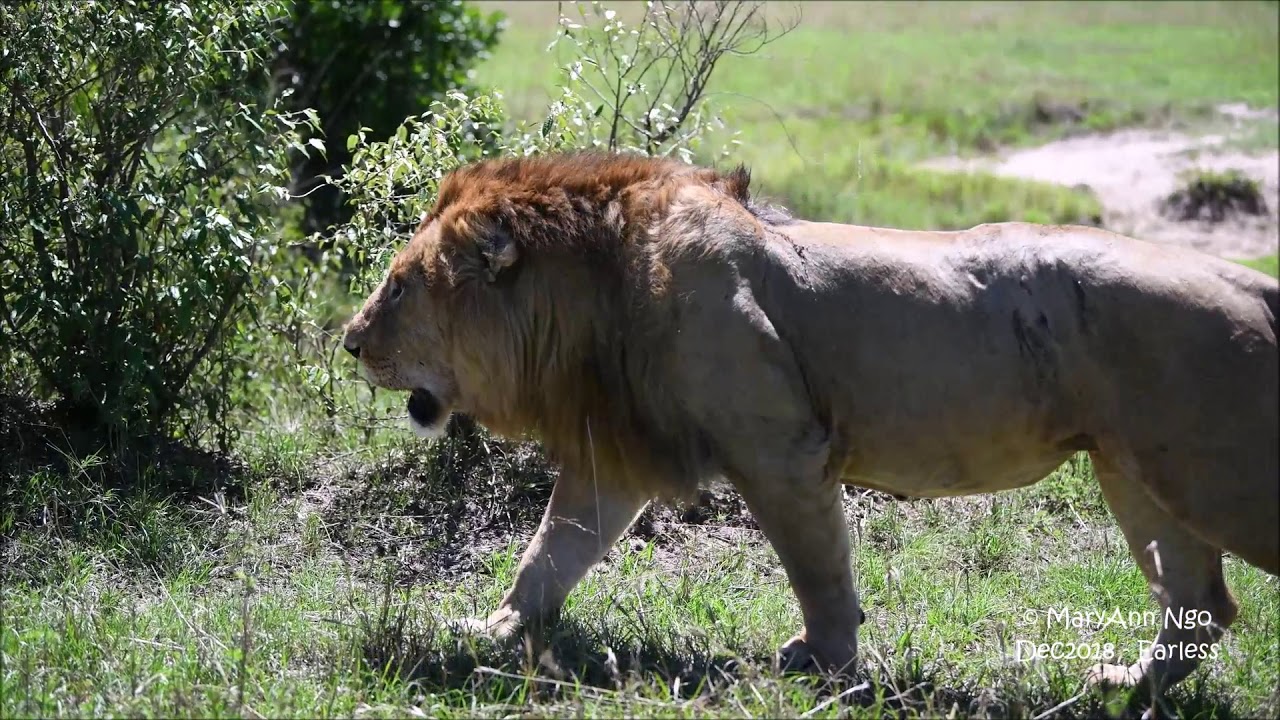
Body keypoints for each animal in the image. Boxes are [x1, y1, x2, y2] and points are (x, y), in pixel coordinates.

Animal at [342, 152, 1278, 698]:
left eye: (397, 286)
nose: (350, 342)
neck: (592, 296)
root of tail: (1247, 278)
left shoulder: (781, 449)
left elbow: (816, 568)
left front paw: (825, 665)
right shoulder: (618, 456)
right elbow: (549, 553)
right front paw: (493, 631)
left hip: (1221, 476)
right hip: (1141, 472)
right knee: (1200, 604)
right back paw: (1126, 685)